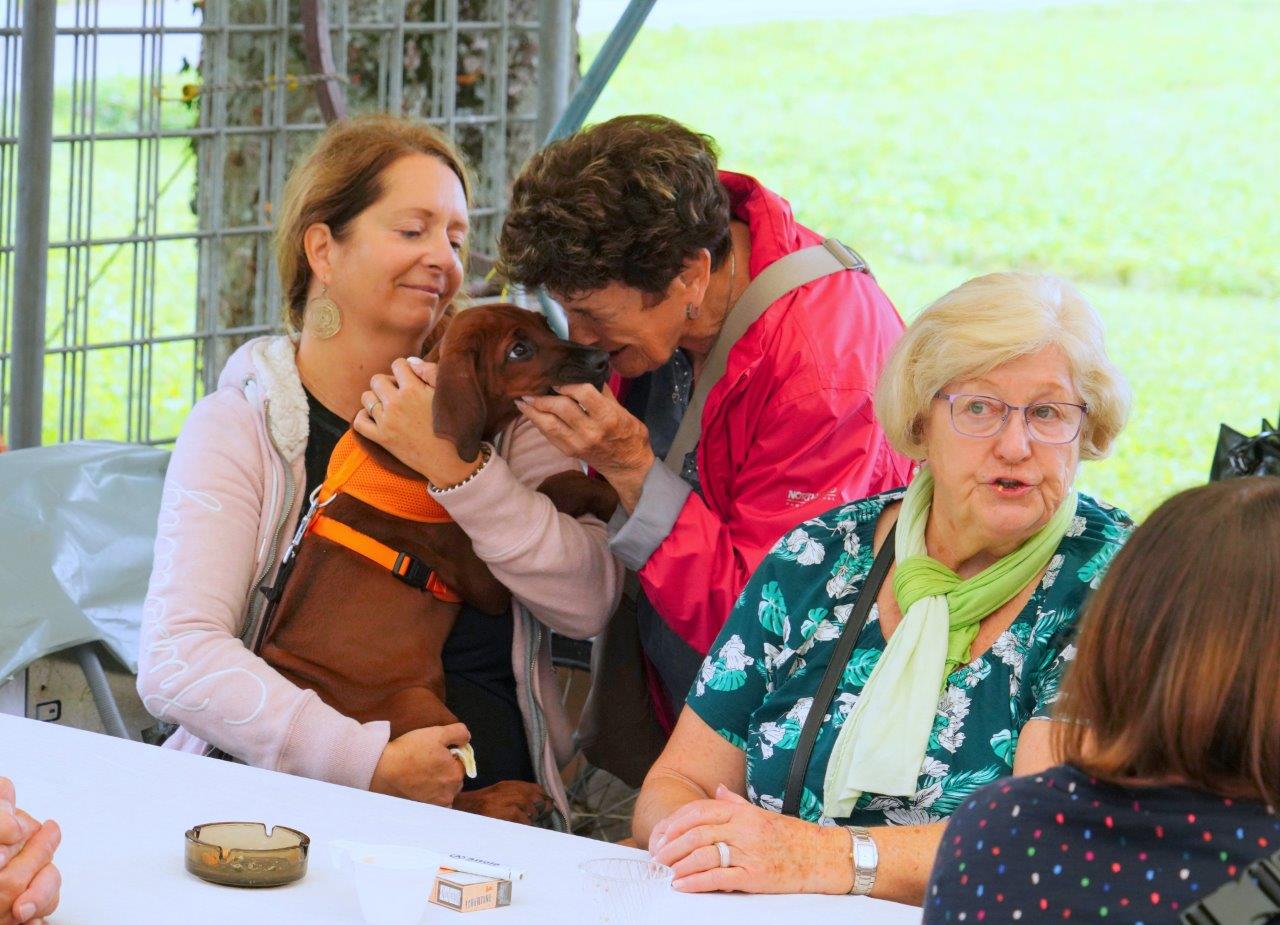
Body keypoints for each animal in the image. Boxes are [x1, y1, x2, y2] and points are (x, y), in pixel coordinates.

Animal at [256, 305, 614, 823]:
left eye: (547, 327)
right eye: (518, 350)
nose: (602, 360)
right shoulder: (483, 579)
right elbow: (551, 489)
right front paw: (602, 493)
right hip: (423, 706)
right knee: (444, 794)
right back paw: (511, 798)